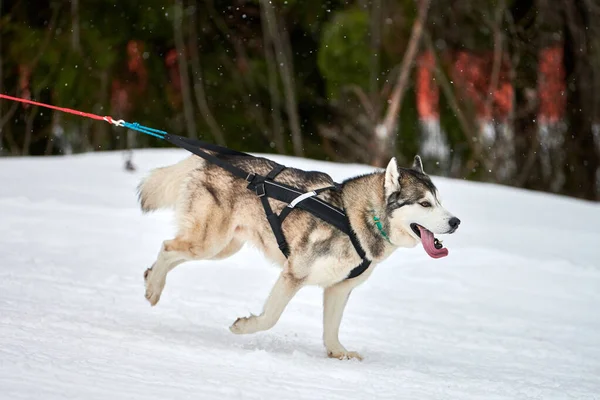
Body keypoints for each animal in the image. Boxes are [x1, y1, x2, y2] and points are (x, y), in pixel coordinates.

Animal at [138, 153, 462, 360]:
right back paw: (153, 288)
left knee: (174, 252)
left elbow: (331, 328)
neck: (352, 219)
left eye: (439, 201)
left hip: (222, 249)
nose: (456, 221)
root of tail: (208, 158)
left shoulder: (339, 288)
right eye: (424, 203)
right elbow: (269, 318)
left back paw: (151, 278)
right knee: (168, 247)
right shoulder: (293, 274)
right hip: (209, 243)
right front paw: (243, 327)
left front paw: (338, 352)